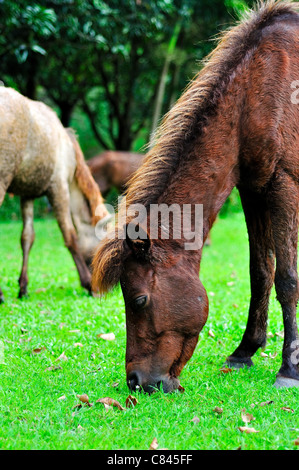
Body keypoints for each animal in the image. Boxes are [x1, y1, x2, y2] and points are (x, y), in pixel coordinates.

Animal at [0, 87, 109, 302]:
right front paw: (87, 283)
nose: (101, 288)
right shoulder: (58, 187)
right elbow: (70, 235)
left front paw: (23, 287)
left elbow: (27, 237)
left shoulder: (28, 194)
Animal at [92, 1, 299, 392]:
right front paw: (245, 350)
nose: (137, 381)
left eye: (139, 300)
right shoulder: (253, 191)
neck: (260, 88)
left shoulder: (284, 186)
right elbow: (261, 272)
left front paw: (289, 367)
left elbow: (287, 278)